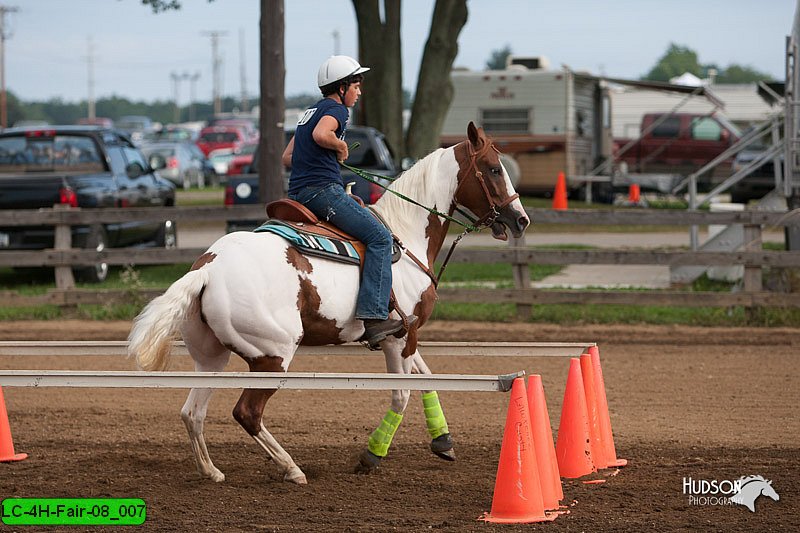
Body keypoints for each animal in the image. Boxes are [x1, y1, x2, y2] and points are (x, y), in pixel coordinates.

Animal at [128, 122, 532, 484]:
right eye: (493, 168)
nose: (521, 219)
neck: (405, 236)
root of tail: (208, 268)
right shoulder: (398, 338)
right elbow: (401, 395)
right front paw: (371, 456)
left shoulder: (406, 333)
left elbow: (428, 378)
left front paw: (443, 442)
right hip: (273, 355)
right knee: (247, 413)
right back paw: (292, 469)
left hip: (212, 358)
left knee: (192, 412)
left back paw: (211, 471)